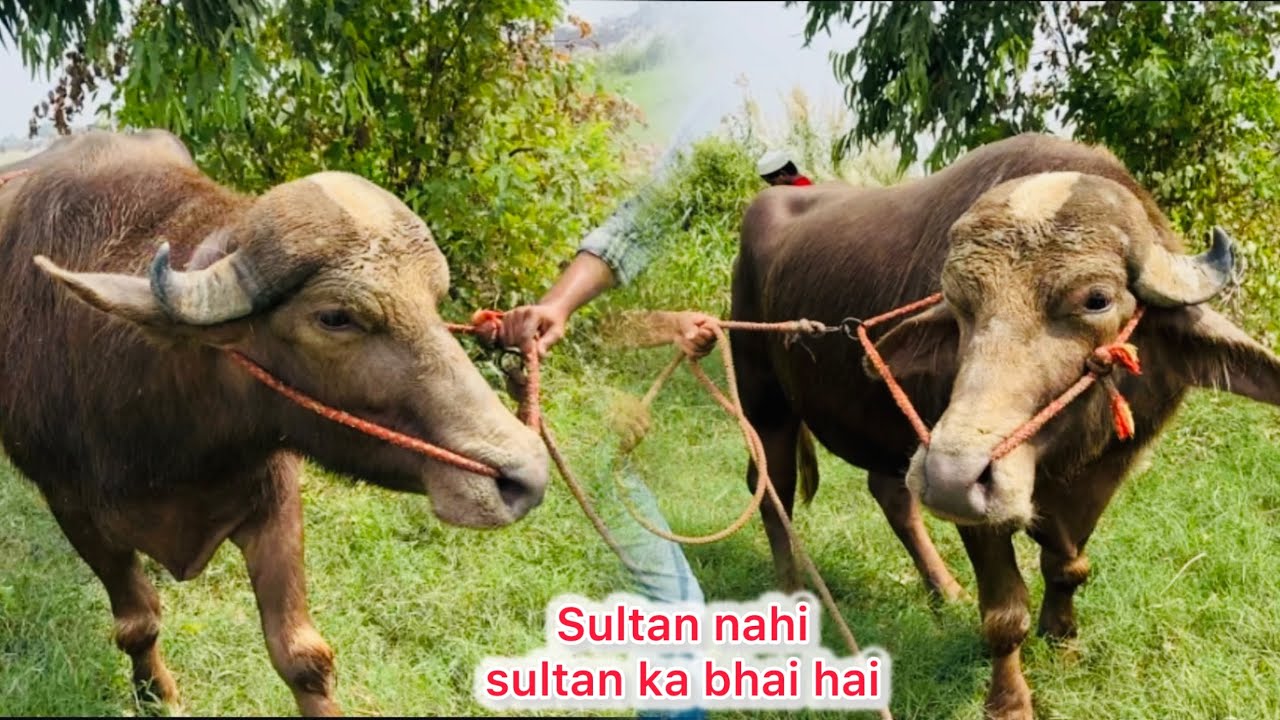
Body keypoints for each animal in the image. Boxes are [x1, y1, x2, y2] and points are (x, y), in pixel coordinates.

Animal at [0, 129, 550, 716]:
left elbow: (302, 656)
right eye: (335, 317)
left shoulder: (275, 498)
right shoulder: (70, 506)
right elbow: (137, 621)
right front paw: (156, 694)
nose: (526, 475)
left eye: (433, 299)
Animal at [730, 133, 1278, 718]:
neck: (1060, 461)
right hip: (766, 400)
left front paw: (1062, 640)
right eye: (959, 306)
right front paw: (1010, 700)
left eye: (1097, 299)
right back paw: (789, 595)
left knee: (891, 493)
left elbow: (1067, 566)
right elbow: (1004, 611)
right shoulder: (975, 507)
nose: (952, 473)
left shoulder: (1102, 476)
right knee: (772, 488)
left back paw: (944, 589)